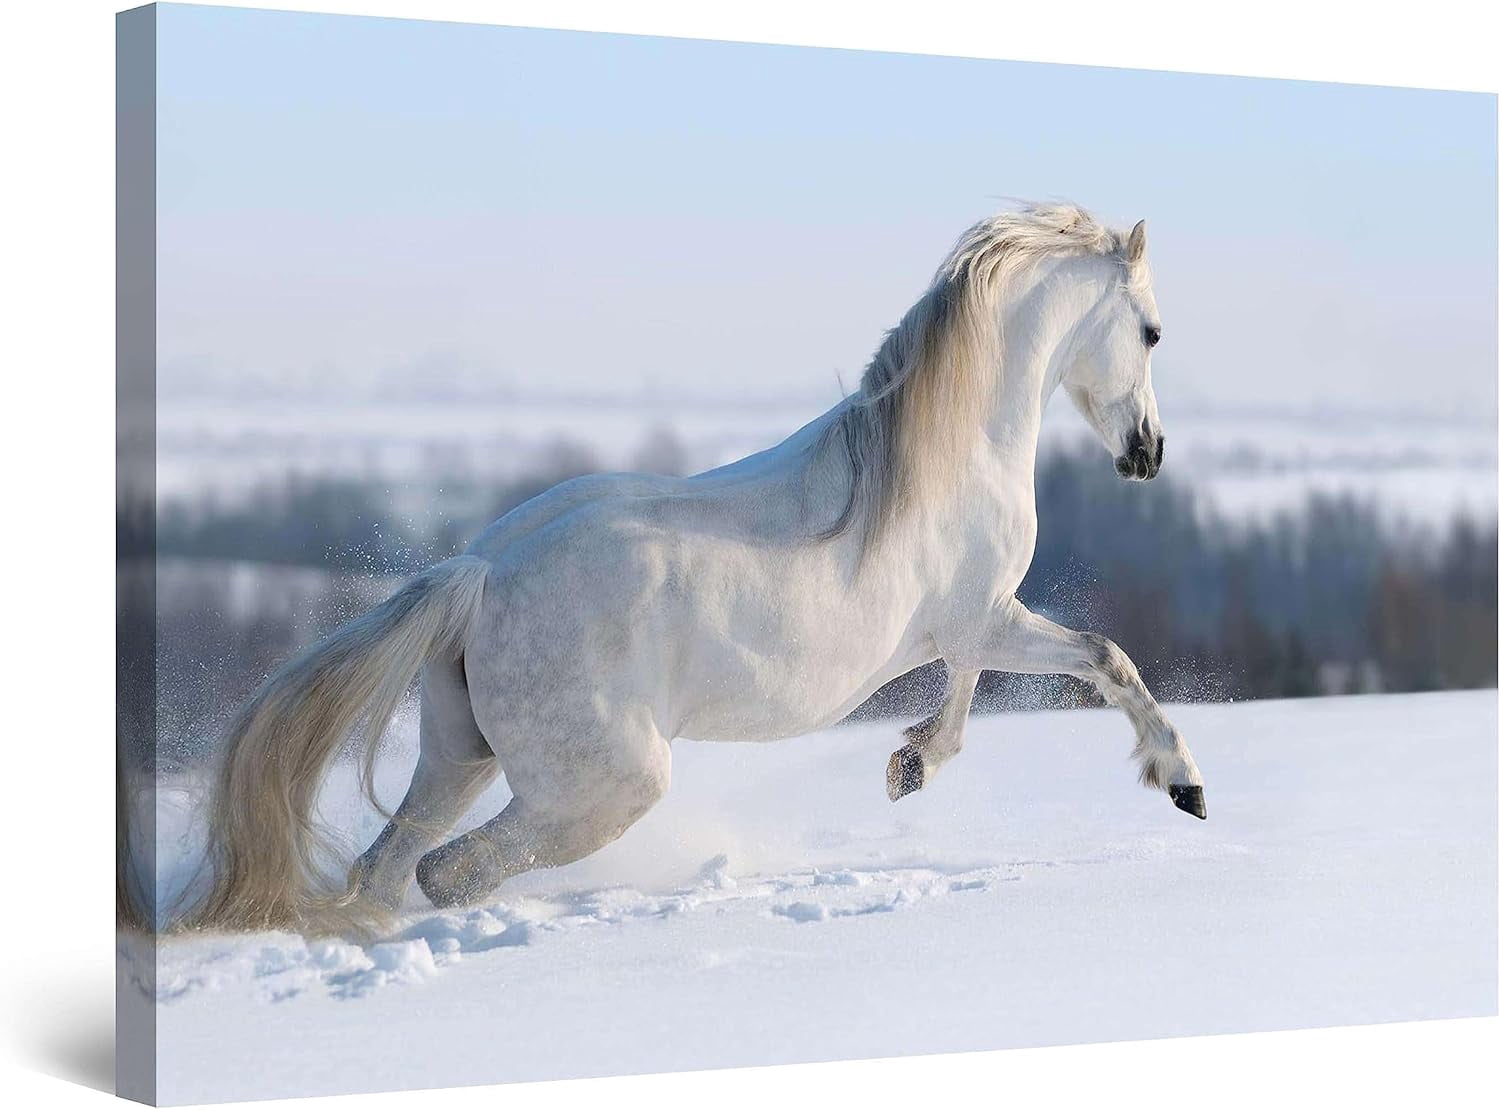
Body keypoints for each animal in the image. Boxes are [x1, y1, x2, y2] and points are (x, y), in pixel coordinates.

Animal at [184, 203, 1206, 936]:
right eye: (1154, 332)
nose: (1148, 452)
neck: (948, 454)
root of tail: (480, 574)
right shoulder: (986, 617)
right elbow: (1100, 659)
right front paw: (1182, 784)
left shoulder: (968, 629)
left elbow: (978, 693)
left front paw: (909, 763)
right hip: (606, 786)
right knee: (449, 870)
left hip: (456, 757)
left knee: (392, 864)